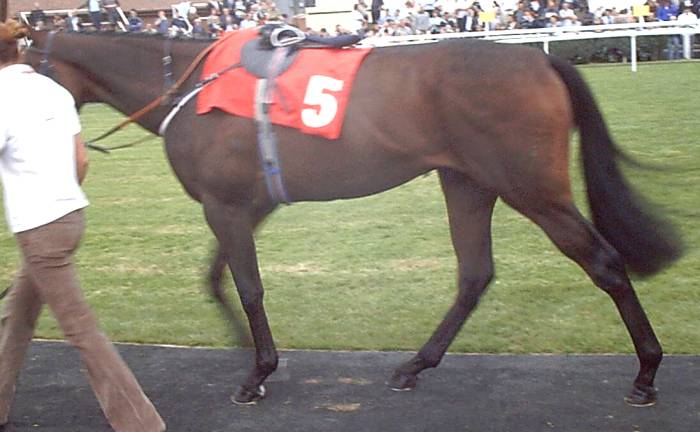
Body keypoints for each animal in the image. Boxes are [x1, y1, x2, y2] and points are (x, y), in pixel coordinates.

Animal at [24, 29, 682, 408]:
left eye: (22, 63)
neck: (192, 87)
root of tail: (539, 62)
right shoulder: (245, 205)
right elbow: (217, 279)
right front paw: (246, 352)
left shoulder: (227, 206)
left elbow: (248, 286)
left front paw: (257, 372)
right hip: (467, 182)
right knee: (475, 274)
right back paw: (414, 365)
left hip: (532, 188)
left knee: (604, 263)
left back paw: (647, 373)